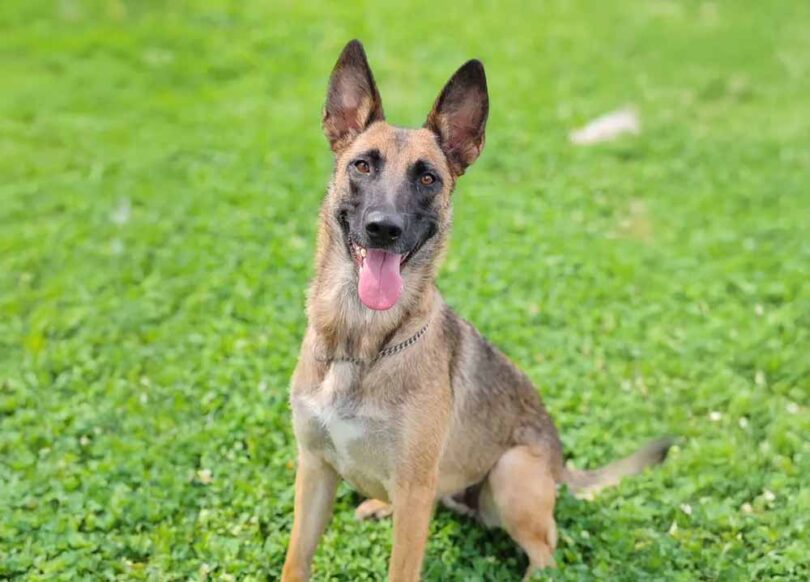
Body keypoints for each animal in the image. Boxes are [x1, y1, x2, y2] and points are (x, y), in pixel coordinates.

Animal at [282, 40, 671, 581]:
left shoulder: (411, 492)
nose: (384, 228)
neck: (360, 342)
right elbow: (295, 560)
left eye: (427, 178)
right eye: (362, 166)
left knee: (547, 549)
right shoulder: (315, 471)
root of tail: (558, 463)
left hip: (510, 475)